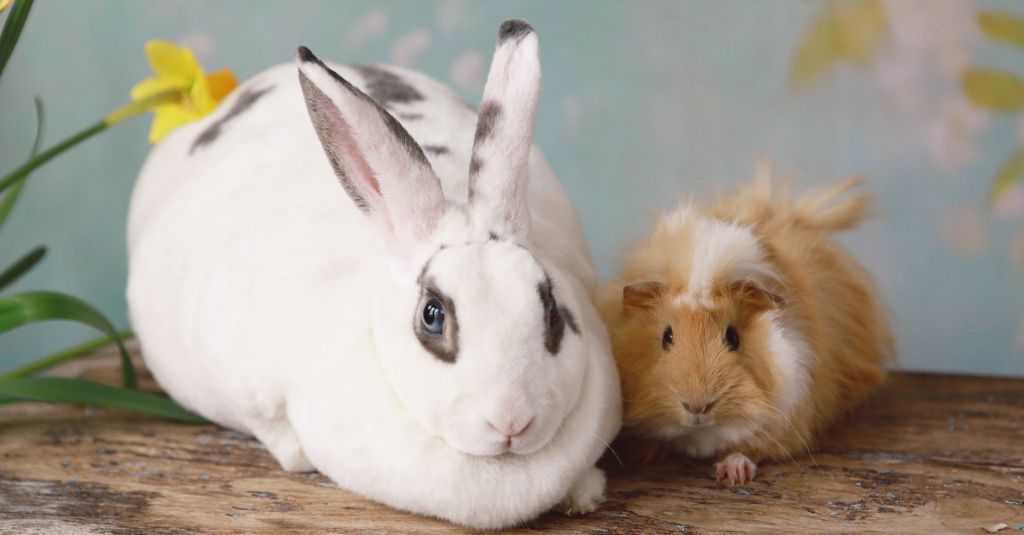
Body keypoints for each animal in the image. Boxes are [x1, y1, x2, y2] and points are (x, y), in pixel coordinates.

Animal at [598, 162, 894, 486]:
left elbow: (748, 448)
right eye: (667, 336)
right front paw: (647, 453)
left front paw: (733, 474)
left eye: (733, 337)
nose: (697, 407)